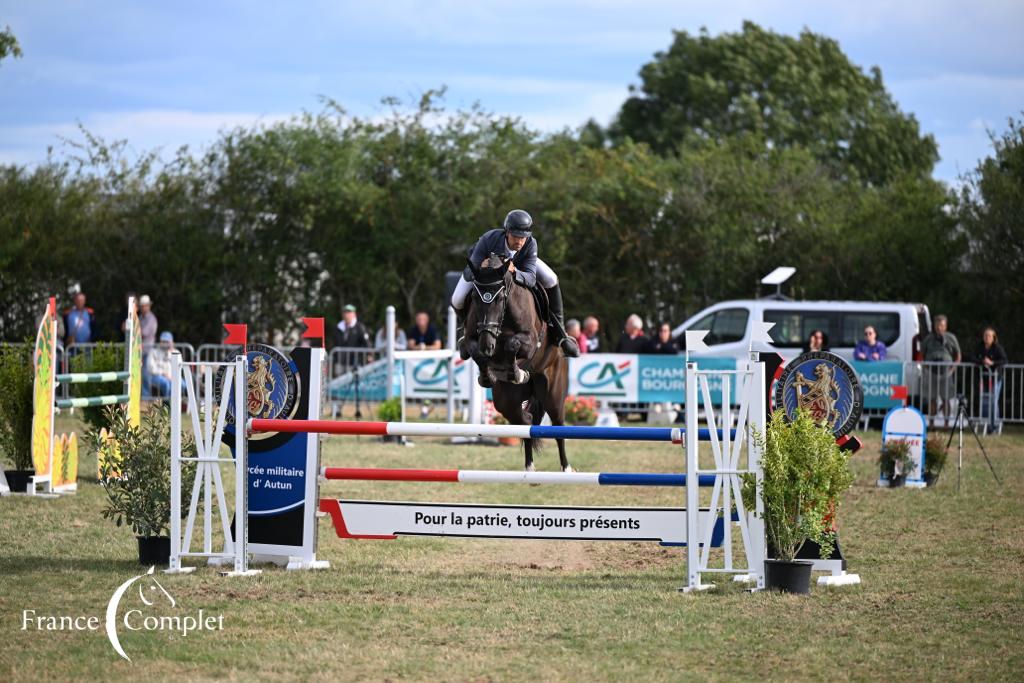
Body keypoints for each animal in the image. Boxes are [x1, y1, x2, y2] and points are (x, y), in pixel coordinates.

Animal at [460, 253, 573, 473]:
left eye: (500, 298)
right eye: (475, 297)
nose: (488, 344)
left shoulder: (530, 341)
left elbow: (512, 345)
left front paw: (517, 373)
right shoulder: (472, 338)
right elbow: (477, 353)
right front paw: (487, 376)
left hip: (553, 394)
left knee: (558, 427)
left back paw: (566, 469)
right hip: (507, 401)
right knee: (525, 423)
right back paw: (529, 468)